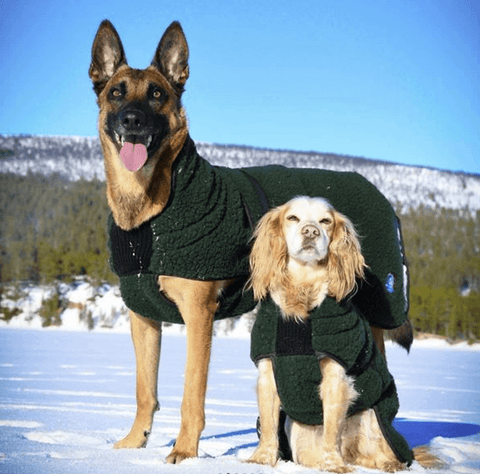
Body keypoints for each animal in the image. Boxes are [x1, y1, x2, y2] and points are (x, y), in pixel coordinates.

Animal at [249, 195, 410, 470]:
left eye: (325, 221)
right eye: (293, 218)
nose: (311, 231)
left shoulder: (337, 374)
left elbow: (332, 428)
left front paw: (333, 464)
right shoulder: (267, 370)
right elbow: (269, 425)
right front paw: (261, 458)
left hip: (371, 418)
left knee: (376, 454)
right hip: (297, 431)